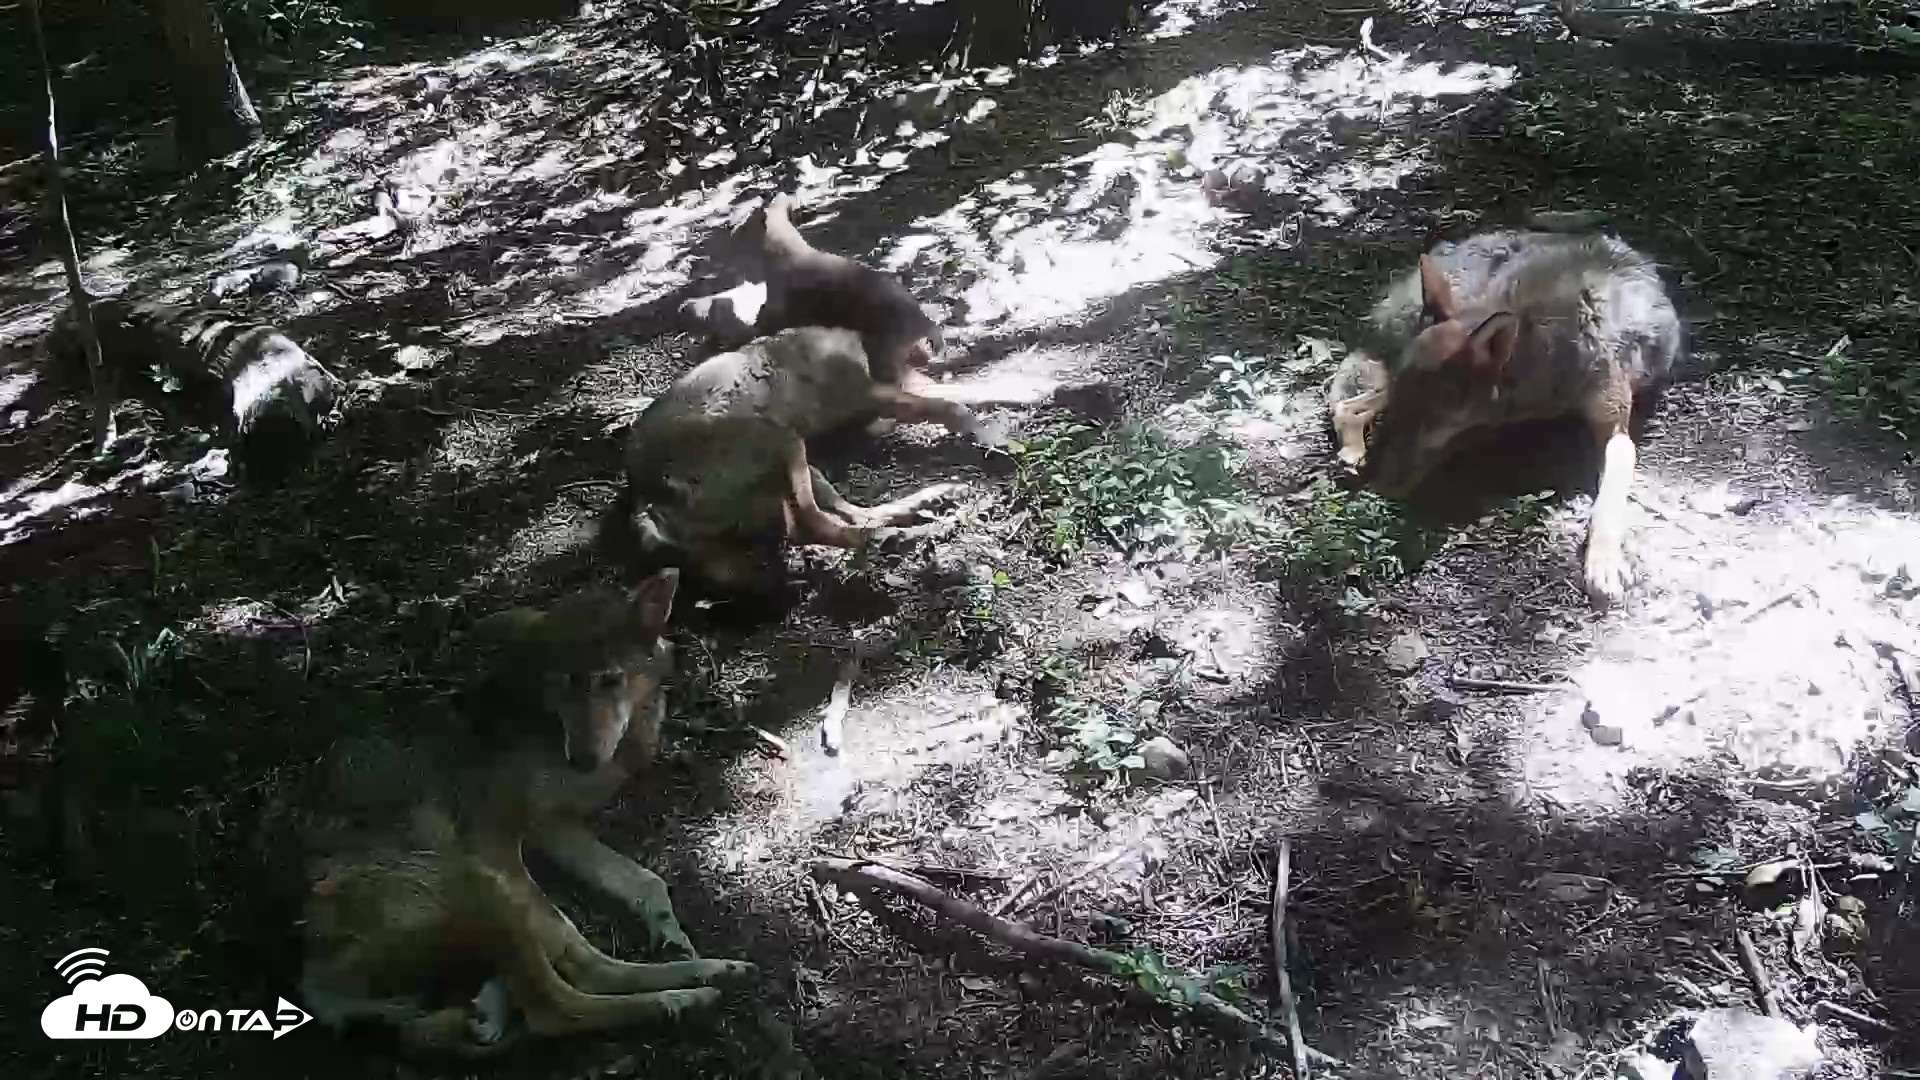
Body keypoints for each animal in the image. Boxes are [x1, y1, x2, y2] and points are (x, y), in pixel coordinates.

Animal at [299, 571, 760, 1057]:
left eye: (609, 681)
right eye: (560, 685)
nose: (582, 759)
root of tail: (315, 982)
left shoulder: (550, 826)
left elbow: (643, 880)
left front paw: (670, 931)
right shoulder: (496, 840)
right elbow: (572, 934)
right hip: (480, 886)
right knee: (563, 999)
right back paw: (690, 993)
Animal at [1333, 231, 1683, 604]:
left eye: (1427, 418)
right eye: (1403, 410)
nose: (1378, 483)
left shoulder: (1615, 430)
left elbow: (1608, 505)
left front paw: (1602, 564)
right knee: (1347, 406)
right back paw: (1353, 452)